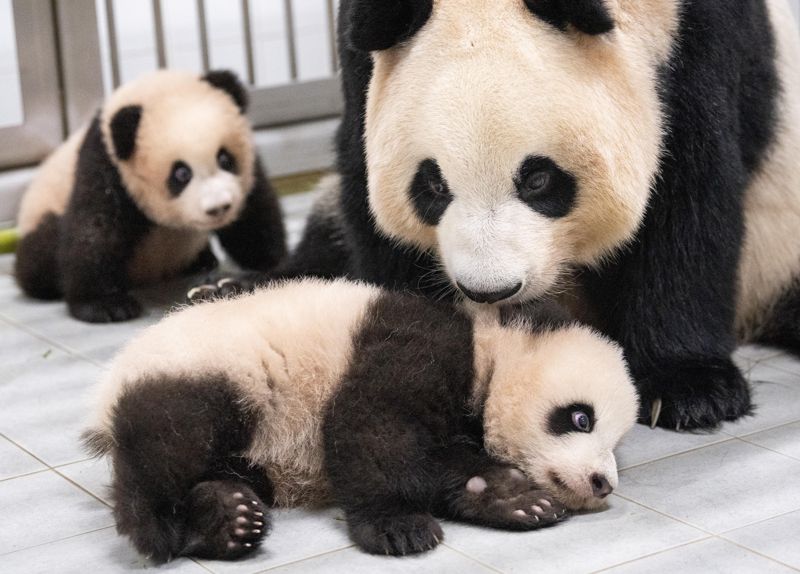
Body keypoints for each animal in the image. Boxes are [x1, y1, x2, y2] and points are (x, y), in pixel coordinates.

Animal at [14, 68, 288, 324]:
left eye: (225, 159)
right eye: (181, 174)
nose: (219, 207)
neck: (151, 89)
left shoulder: (247, 176)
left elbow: (253, 215)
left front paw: (266, 267)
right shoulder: (106, 164)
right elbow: (95, 229)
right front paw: (106, 306)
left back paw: (202, 260)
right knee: (40, 257)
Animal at [86, 280, 636, 564]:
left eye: (616, 445)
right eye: (580, 417)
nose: (602, 483)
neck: (488, 351)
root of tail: (107, 391)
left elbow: (448, 464)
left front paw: (514, 499)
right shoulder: (418, 349)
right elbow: (373, 425)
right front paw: (400, 528)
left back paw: (230, 517)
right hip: (213, 374)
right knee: (171, 440)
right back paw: (166, 526)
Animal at [208, 0, 800, 432]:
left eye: (538, 180)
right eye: (432, 185)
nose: (489, 290)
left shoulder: (691, 45)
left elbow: (687, 201)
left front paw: (688, 390)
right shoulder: (363, 64)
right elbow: (368, 200)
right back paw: (235, 291)